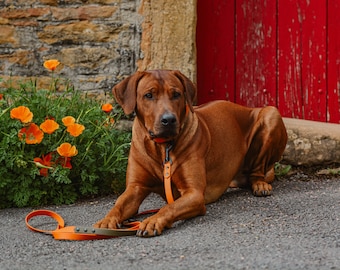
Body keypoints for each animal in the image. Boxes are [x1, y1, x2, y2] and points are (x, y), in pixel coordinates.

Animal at [94, 69, 288, 236]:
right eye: (148, 95)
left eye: (176, 94)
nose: (168, 120)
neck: (162, 148)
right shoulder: (135, 187)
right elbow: (119, 204)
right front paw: (106, 221)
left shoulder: (194, 194)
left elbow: (169, 207)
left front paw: (152, 220)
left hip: (271, 114)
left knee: (258, 170)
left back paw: (260, 184)